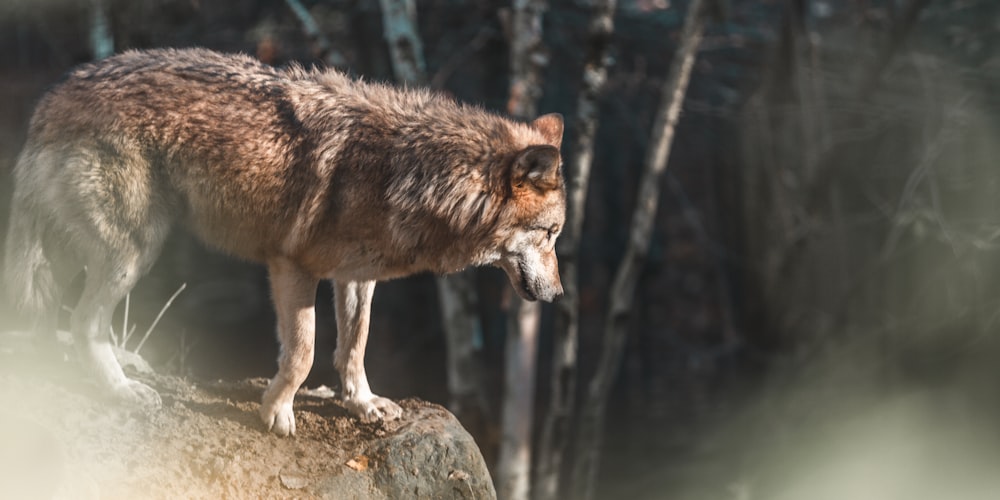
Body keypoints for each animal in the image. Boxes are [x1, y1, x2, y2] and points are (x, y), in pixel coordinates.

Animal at [1, 48, 564, 436]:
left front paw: (363, 404)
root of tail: (55, 95)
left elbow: (354, 346)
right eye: (552, 233)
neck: (408, 172)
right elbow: (303, 353)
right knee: (83, 321)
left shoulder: (356, 277)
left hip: (84, 252)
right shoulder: (293, 267)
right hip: (132, 251)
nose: (559, 295)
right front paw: (277, 412)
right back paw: (121, 390)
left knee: (58, 318)